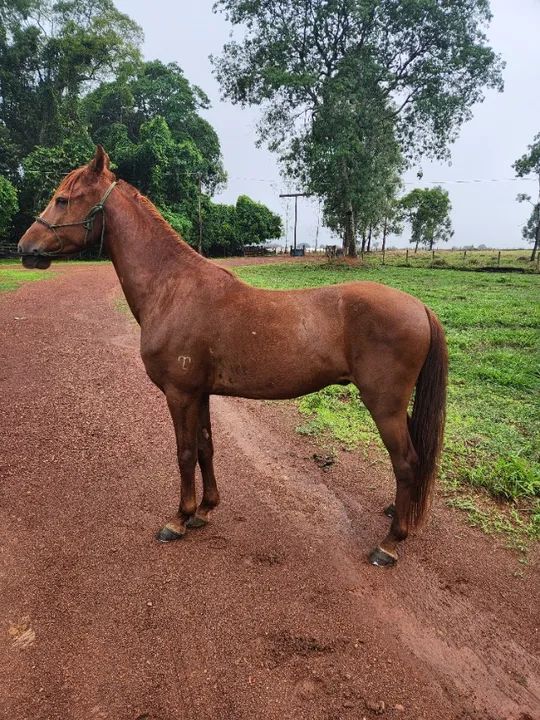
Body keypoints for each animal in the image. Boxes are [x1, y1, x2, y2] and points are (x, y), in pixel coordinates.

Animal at [18, 146, 448, 567]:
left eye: (63, 199)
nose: (25, 248)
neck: (172, 288)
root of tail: (420, 307)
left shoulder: (179, 394)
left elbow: (184, 452)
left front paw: (179, 519)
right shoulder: (200, 393)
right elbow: (205, 447)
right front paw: (205, 510)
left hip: (383, 405)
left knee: (406, 462)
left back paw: (389, 544)